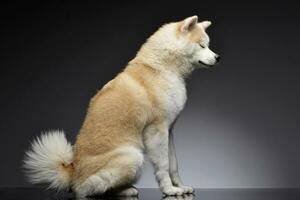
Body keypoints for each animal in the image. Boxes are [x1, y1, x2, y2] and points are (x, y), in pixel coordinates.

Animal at [23, 15, 220, 197]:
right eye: (202, 45)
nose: (218, 57)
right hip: (133, 157)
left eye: (208, 45)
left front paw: (180, 187)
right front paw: (169, 190)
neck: (163, 68)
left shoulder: (168, 130)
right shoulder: (156, 131)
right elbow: (164, 165)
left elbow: (173, 164)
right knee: (85, 189)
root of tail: (73, 170)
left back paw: (127, 190)